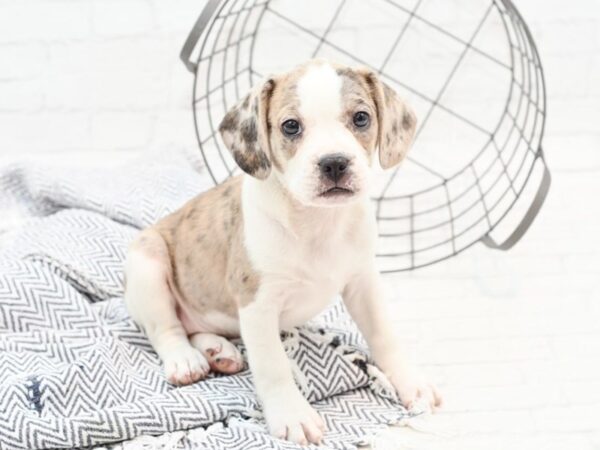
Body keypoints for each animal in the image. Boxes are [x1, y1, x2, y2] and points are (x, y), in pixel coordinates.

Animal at [124, 59, 440, 442]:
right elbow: (274, 366)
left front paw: (410, 383)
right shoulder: (258, 306)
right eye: (291, 126)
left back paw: (218, 351)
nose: (334, 163)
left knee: (196, 328)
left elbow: (384, 335)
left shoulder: (364, 284)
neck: (319, 222)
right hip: (148, 265)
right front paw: (292, 414)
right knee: (167, 329)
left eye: (361, 118)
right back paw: (186, 360)